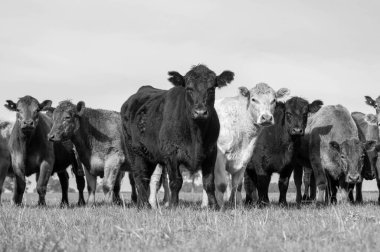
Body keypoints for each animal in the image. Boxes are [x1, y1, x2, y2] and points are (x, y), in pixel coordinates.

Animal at [121, 64, 235, 209]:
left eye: (211, 89)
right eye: (189, 88)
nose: (200, 112)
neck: (196, 135)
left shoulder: (211, 152)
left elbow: (209, 182)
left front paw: (214, 206)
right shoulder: (171, 154)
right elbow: (176, 181)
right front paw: (173, 205)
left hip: (150, 155)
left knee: (145, 178)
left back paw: (143, 204)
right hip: (134, 151)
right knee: (139, 176)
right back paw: (145, 205)